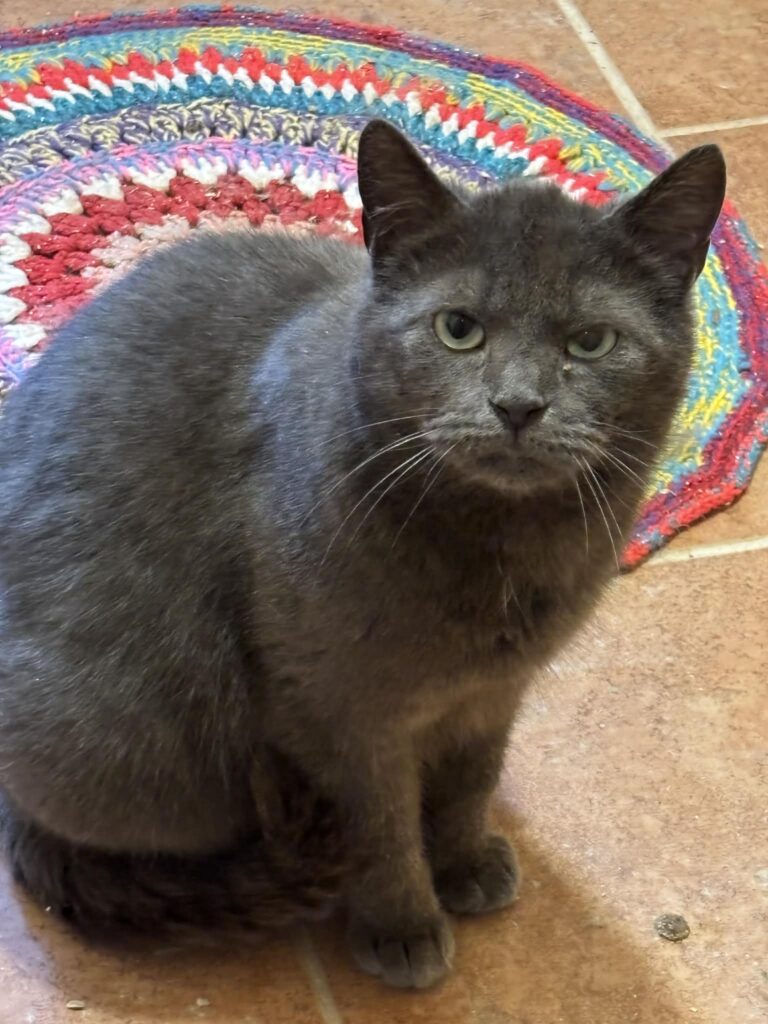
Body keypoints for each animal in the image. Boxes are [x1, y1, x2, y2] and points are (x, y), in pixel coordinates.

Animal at [0, 119, 724, 989]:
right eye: (458, 329)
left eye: (591, 341)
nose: (518, 406)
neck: (500, 551)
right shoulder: (334, 711)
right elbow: (381, 829)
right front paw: (404, 925)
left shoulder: (494, 693)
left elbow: (470, 781)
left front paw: (465, 863)